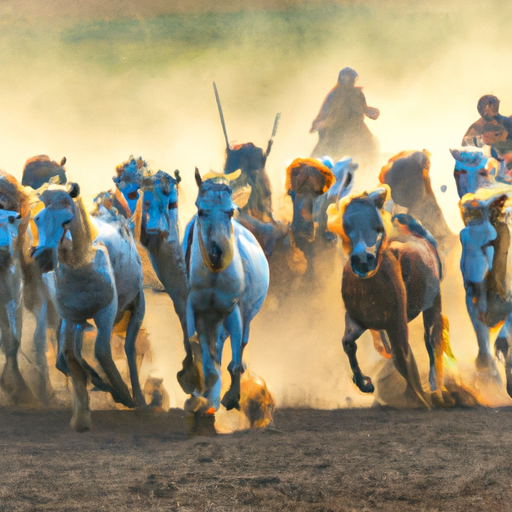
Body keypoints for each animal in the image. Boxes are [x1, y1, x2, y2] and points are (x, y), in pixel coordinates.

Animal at [185, 170, 270, 418]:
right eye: (201, 210)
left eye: (230, 211)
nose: (216, 254)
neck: (215, 276)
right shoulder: (197, 309)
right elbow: (200, 350)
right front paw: (202, 396)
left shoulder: (233, 310)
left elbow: (235, 362)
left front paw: (231, 398)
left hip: (244, 316)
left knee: (238, 345)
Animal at [328, 186, 452, 406]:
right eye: (346, 225)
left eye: (377, 225)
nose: (363, 260)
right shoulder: (357, 320)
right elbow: (348, 343)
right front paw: (365, 383)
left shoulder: (397, 328)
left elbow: (406, 365)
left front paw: (426, 401)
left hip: (433, 305)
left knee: (431, 339)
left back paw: (436, 387)